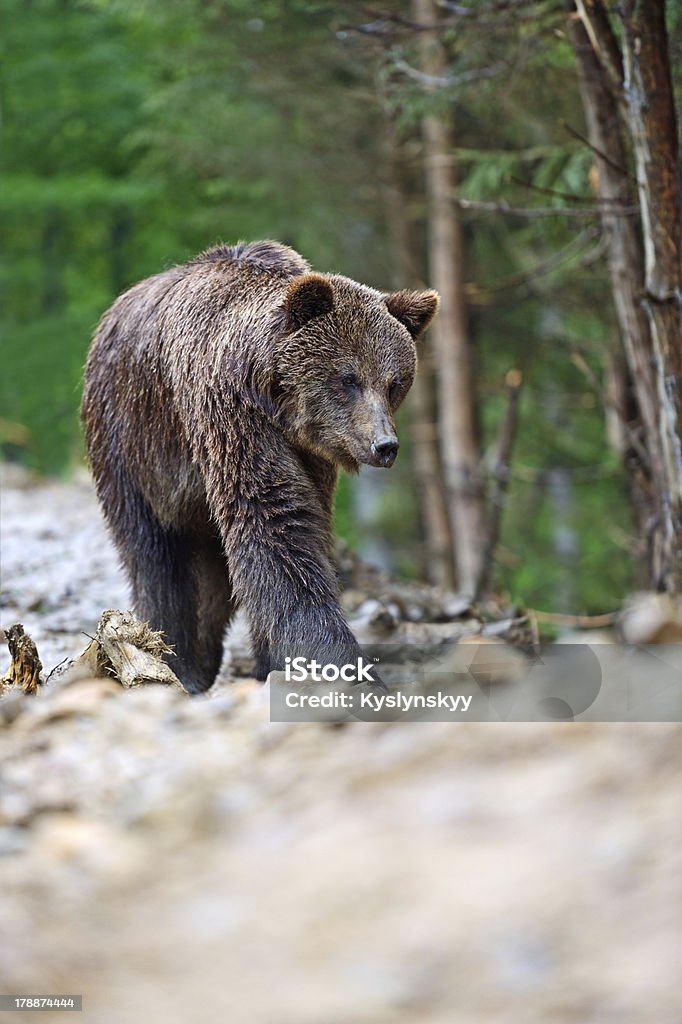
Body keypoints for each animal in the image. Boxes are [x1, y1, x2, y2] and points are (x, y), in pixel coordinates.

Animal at [82, 236, 438, 692]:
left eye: (395, 382)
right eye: (349, 378)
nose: (385, 445)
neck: (277, 402)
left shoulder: (312, 454)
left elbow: (299, 530)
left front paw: (275, 664)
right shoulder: (230, 415)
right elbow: (274, 523)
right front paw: (338, 662)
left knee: (213, 573)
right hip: (129, 442)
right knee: (154, 554)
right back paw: (176, 660)